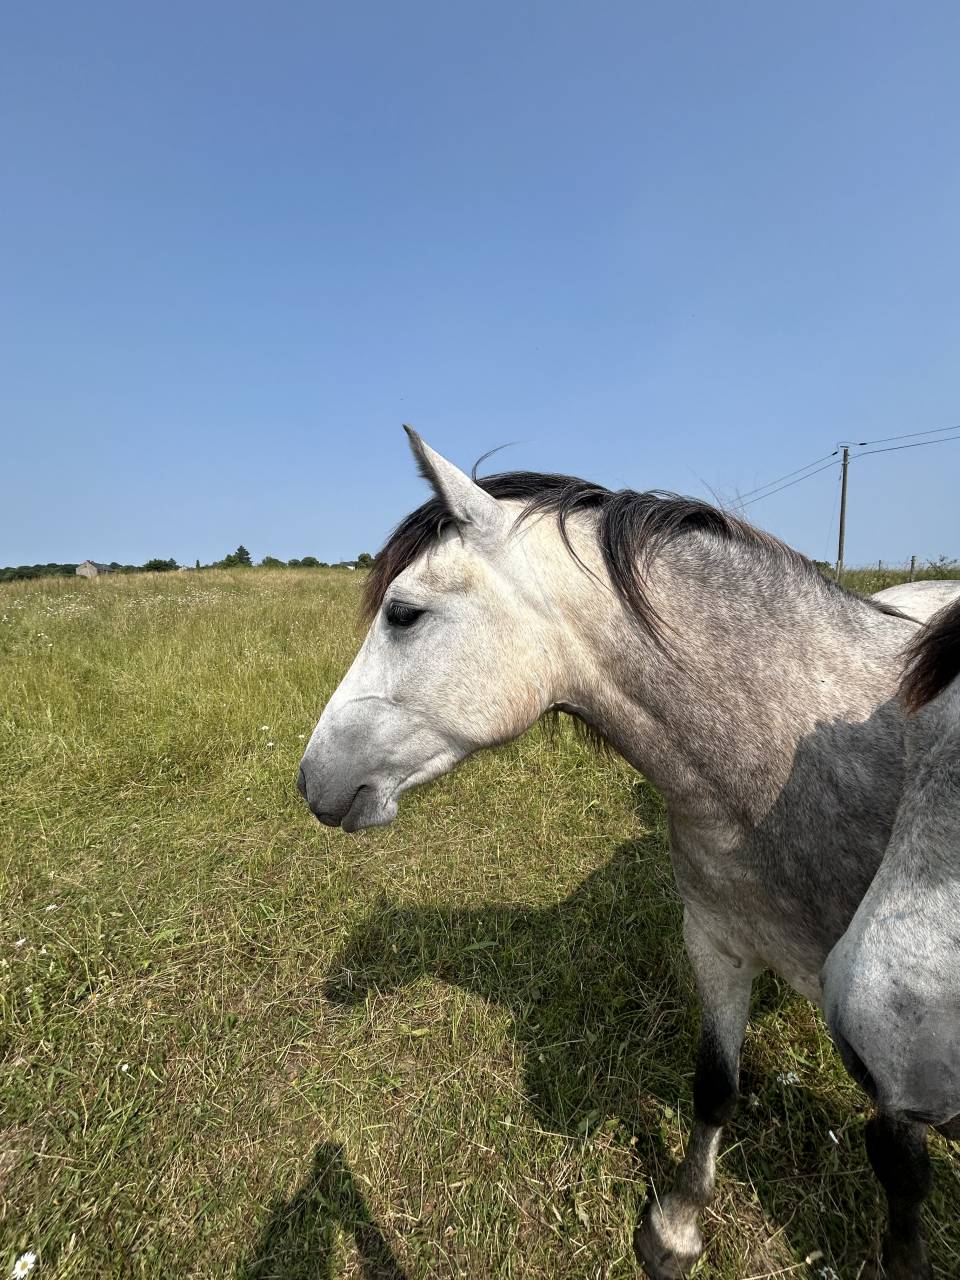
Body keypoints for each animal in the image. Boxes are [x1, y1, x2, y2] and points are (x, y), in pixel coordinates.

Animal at [298, 427, 931, 1278]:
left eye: (402, 614)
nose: (310, 778)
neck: (797, 768)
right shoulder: (718, 947)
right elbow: (715, 1087)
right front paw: (678, 1226)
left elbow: (902, 1173)